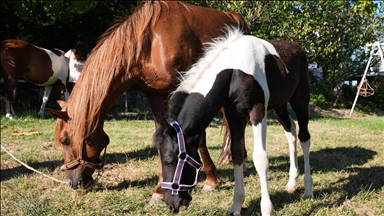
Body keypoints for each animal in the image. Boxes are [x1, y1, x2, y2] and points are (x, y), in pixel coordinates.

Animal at [45, 0, 249, 203]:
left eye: (65, 141)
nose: (72, 182)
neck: (149, 43)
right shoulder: (155, 94)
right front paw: (159, 190)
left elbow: (198, 138)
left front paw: (211, 181)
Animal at [154, 27, 314, 216]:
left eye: (169, 161)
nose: (171, 203)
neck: (235, 70)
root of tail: (298, 48)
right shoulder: (233, 114)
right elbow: (237, 153)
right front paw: (236, 206)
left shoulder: (257, 112)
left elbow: (260, 158)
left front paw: (266, 209)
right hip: (280, 106)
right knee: (291, 132)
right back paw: (291, 183)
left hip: (300, 102)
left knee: (304, 137)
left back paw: (308, 190)